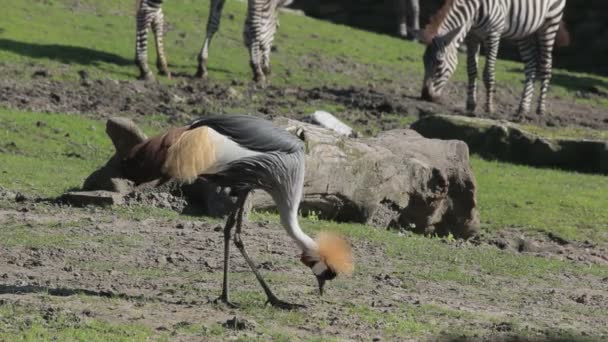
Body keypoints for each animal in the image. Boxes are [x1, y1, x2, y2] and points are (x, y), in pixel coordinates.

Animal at [135, 0, 292, 83]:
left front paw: (202, 65)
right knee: (146, 11)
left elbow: (213, 22)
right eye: (277, 27)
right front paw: (257, 70)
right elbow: (254, 26)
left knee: (154, 16)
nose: (269, 70)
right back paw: (144, 68)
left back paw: (161, 66)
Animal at [420, 0, 568, 117]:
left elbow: (488, 73)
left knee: (546, 67)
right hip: (525, 31)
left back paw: (540, 109)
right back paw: (523, 108)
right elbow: (471, 70)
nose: (425, 96)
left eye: (439, 63)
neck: (474, 11)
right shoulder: (472, 37)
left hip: (550, 23)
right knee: (531, 66)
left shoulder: (493, 34)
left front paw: (489, 107)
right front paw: (470, 105)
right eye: (423, 62)